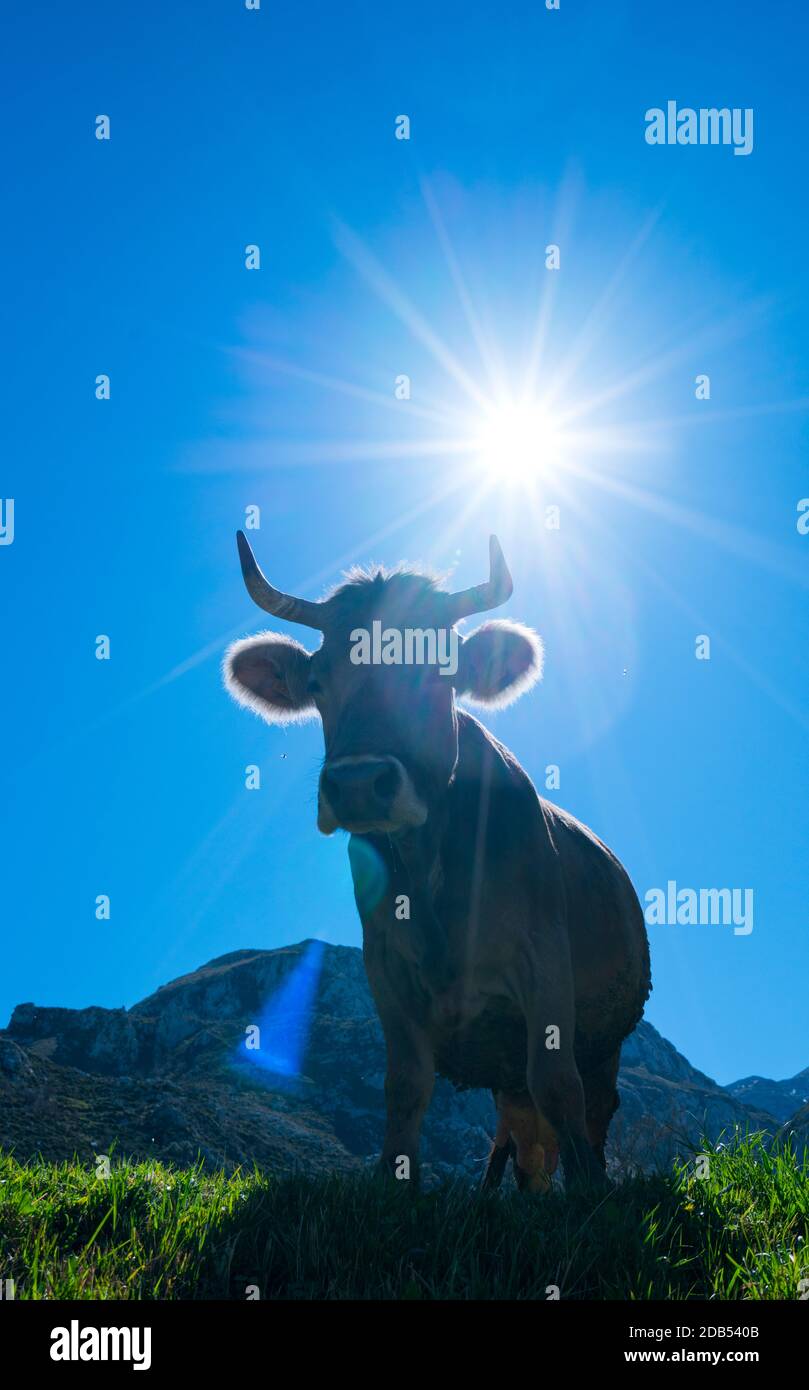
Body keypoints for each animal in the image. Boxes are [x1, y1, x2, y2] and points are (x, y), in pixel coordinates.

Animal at [224, 531, 651, 1194]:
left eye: (440, 668)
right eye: (317, 682)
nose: (356, 784)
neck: (429, 872)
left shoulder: (545, 958)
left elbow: (558, 1082)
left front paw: (591, 1198)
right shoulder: (384, 968)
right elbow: (405, 1087)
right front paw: (394, 1183)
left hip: (607, 1042)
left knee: (590, 1109)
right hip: (506, 1078)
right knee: (527, 1144)